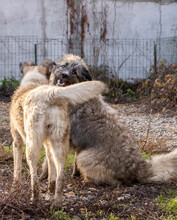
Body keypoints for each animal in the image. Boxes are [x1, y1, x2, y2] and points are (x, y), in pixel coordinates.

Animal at [9, 59, 106, 208]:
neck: (33, 82)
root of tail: (49, 94)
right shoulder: (48, 147)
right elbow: (52, 174)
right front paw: (49, 193)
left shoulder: (17, 142)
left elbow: (17, 169)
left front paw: (15, 187)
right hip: (59, 146)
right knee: (60, 176)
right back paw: (57, 203)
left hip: (32, 148)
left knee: (34, 178)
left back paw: (34, 200)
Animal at [40, 53, 177, 186]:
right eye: (64, 65)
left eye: (75, 72)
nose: (64, 74)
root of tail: (139, 168)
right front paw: (72, 174)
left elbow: (49, 160)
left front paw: (44, 177)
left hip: (85, 157)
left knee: (114, 182)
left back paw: (88, 181)